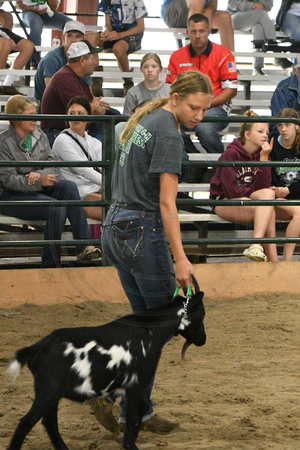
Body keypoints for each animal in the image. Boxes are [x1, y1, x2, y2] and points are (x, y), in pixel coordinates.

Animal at [7, 288, 205, 450]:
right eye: (201, 315)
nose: (203, 339)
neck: (150, 331)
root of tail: (35, 349)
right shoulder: (135, 384)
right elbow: (134, 416)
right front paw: (130, 445)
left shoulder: (134, 387)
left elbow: (141, 411)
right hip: (47, 391)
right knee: (26, 423)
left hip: (51, 395)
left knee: (49, 422)